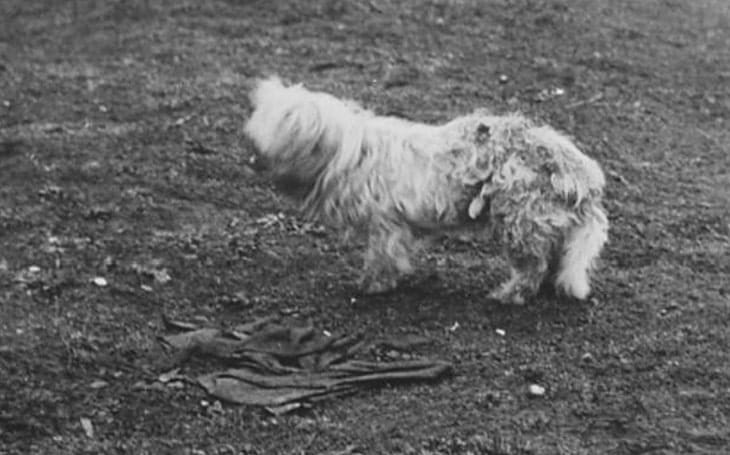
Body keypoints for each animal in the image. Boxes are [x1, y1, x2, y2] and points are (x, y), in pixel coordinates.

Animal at [242, 78, 604, 304]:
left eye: (280, 128)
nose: (254, 156)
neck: (348, 152)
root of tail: (580, 175)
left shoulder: (386, 223)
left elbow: (382, 257)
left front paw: (373, 286)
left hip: (520, 219)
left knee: (533, 266)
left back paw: (510, 294)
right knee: (553, 259)